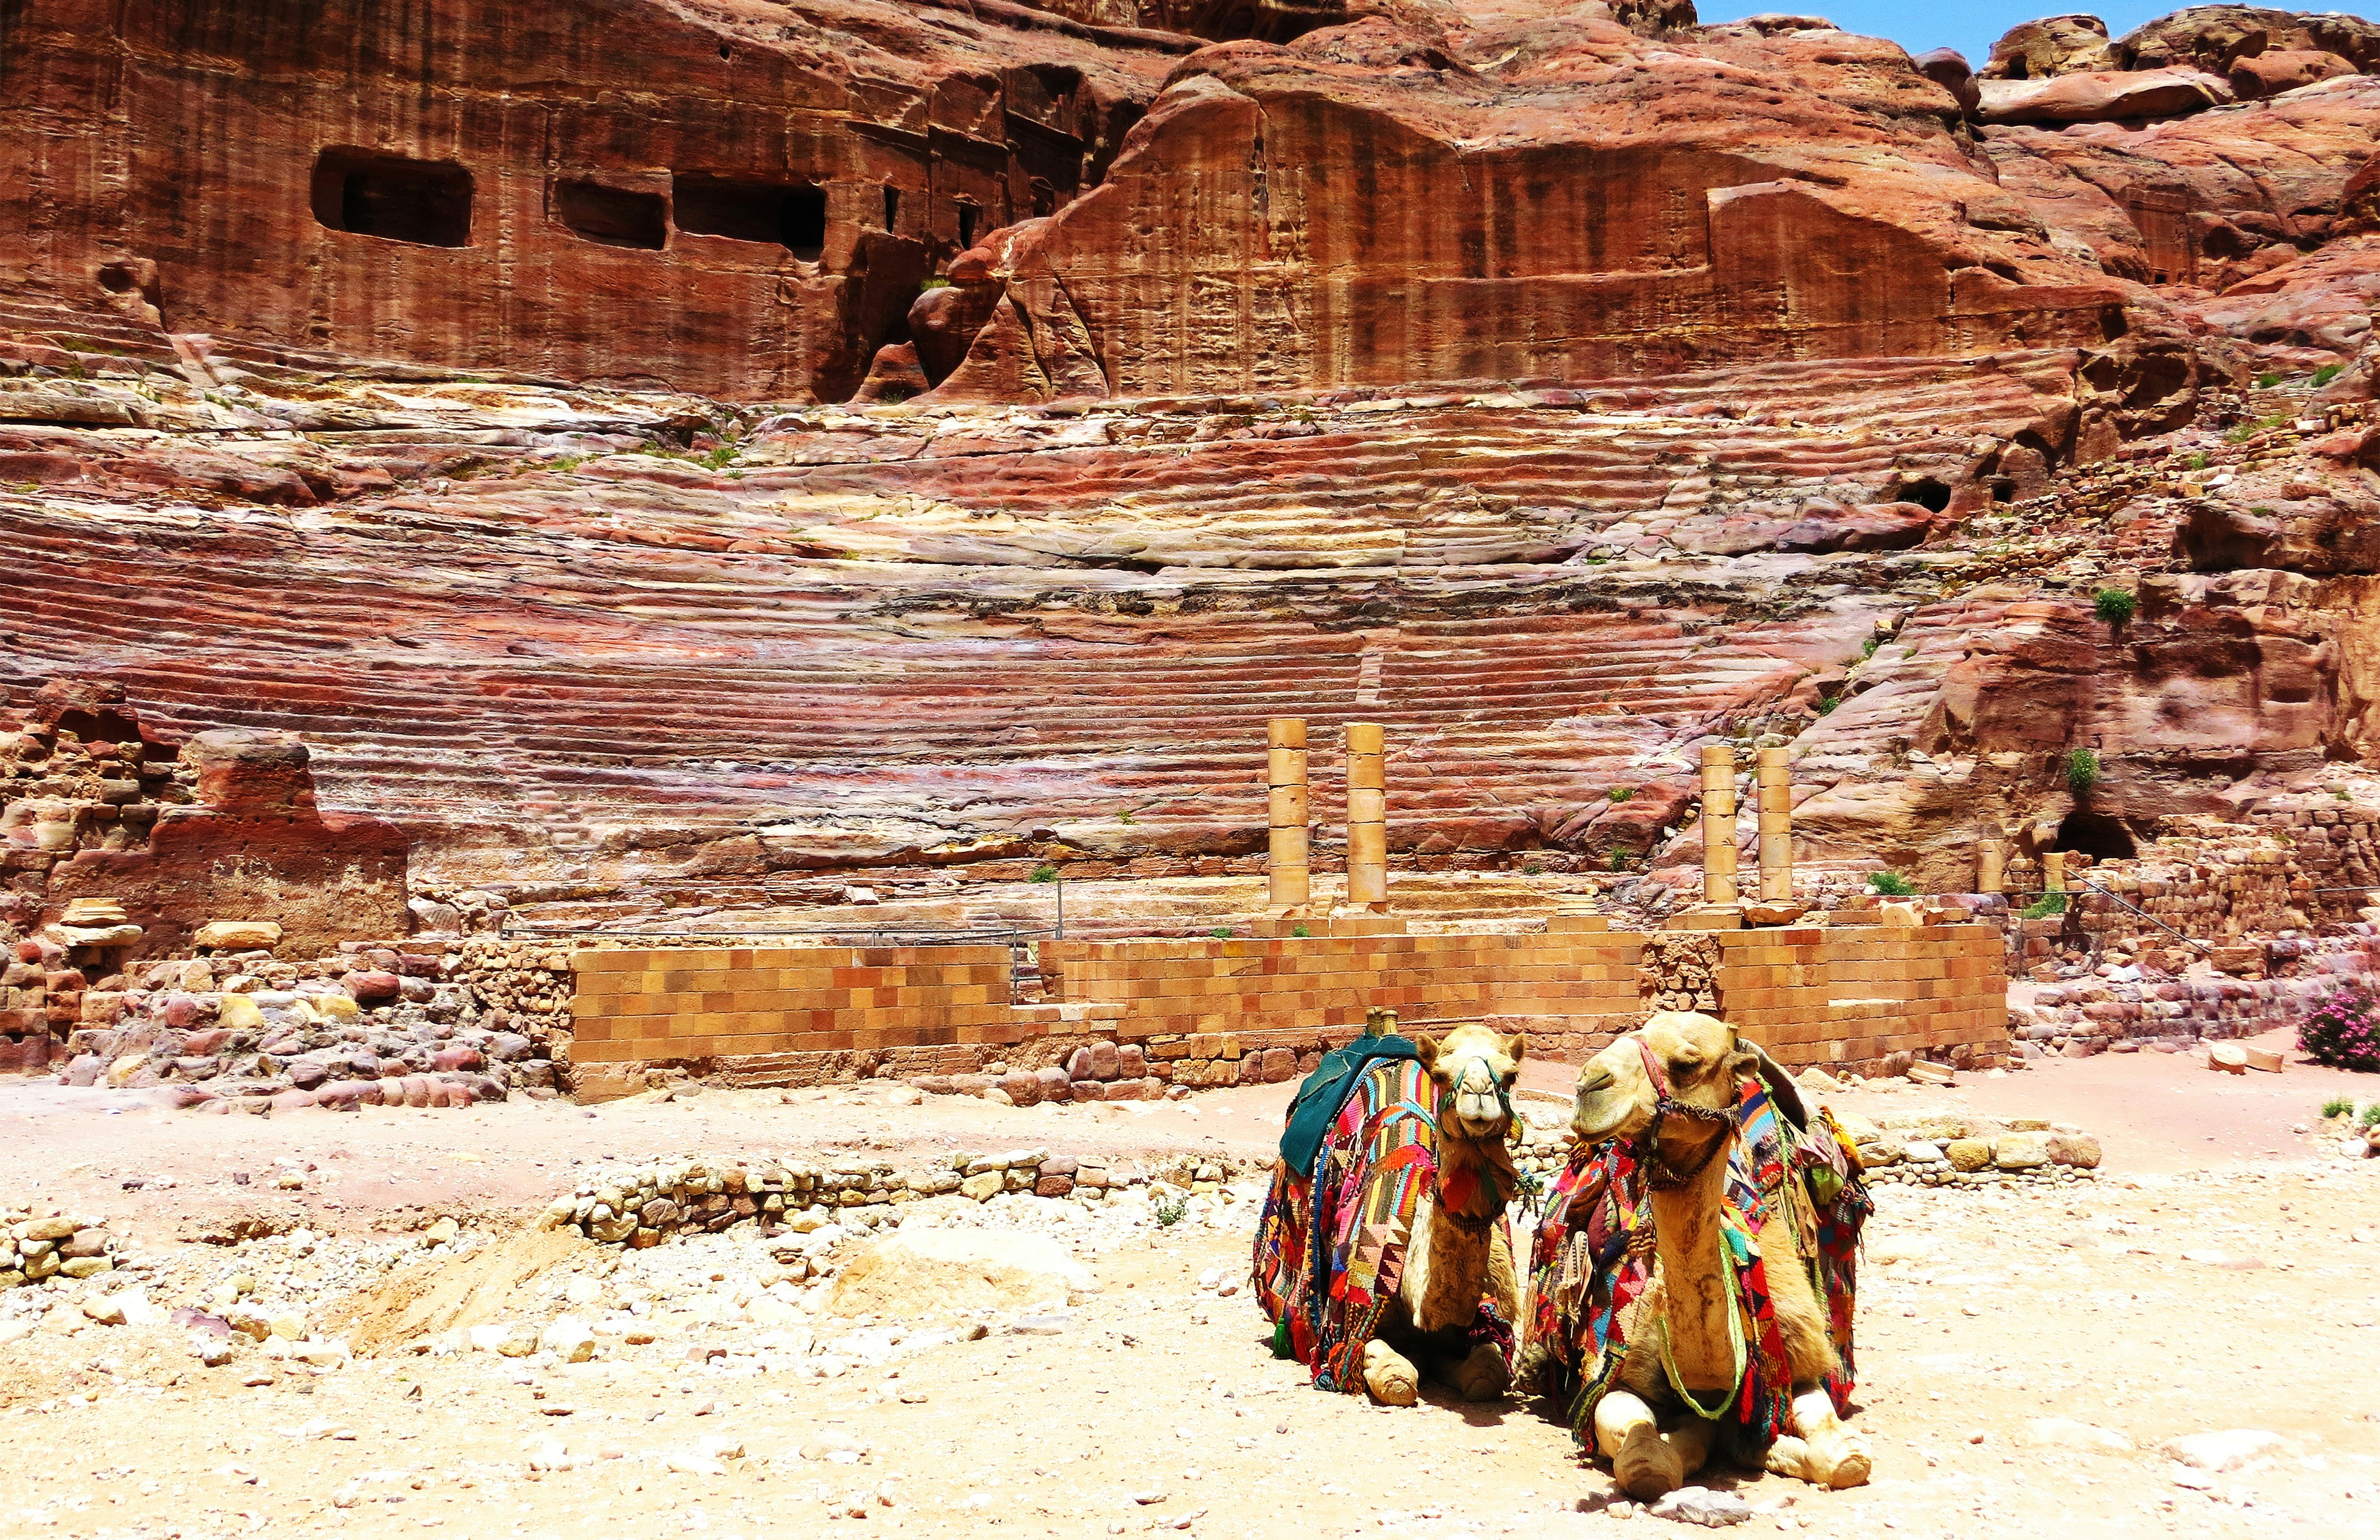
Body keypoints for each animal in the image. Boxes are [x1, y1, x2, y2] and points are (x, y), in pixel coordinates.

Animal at [1561, 1019, 1875, 1504]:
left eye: (1688, 1062)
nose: (1590, 1085)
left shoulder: (1801, 1368)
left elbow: (1845, 1458)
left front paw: (1770, 1447)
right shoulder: (1615, 1377)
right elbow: (1648, 1464)